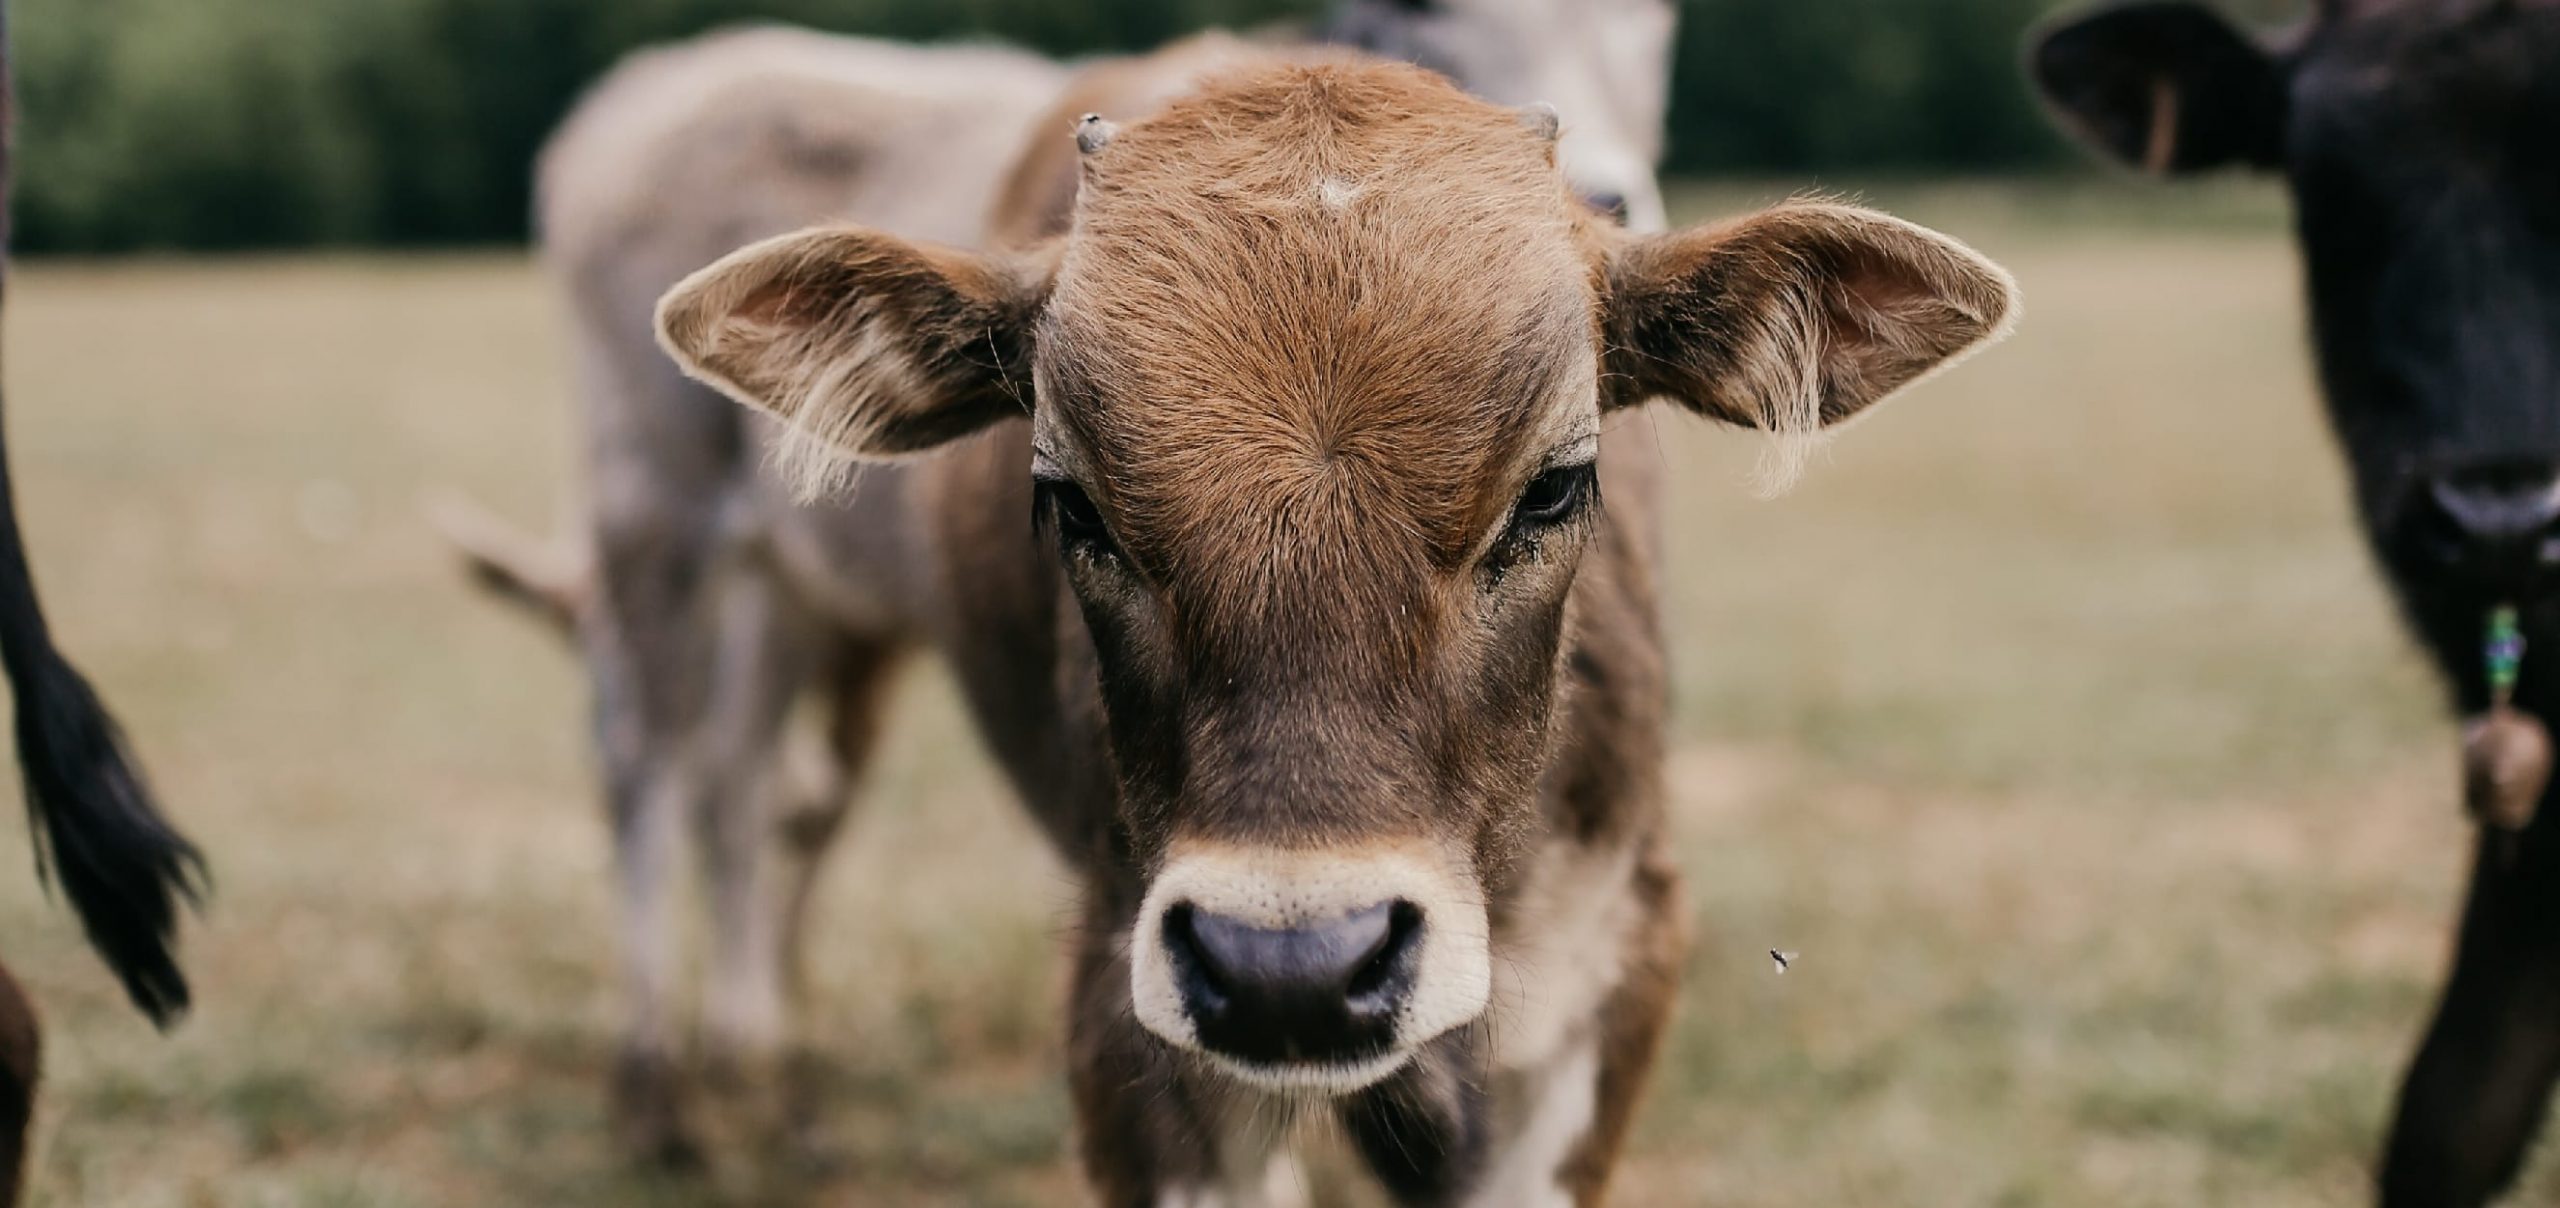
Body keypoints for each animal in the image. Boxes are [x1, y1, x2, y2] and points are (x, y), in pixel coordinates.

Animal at [440, 2, 1679, 1172]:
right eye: (1071, 501)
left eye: (1553, 485)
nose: (1291, 966)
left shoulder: (1609, 967)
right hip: (651, 518)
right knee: (649, 769)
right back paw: (659, 1094)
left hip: (786, 592)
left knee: (742, 784)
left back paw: (765, 1079)